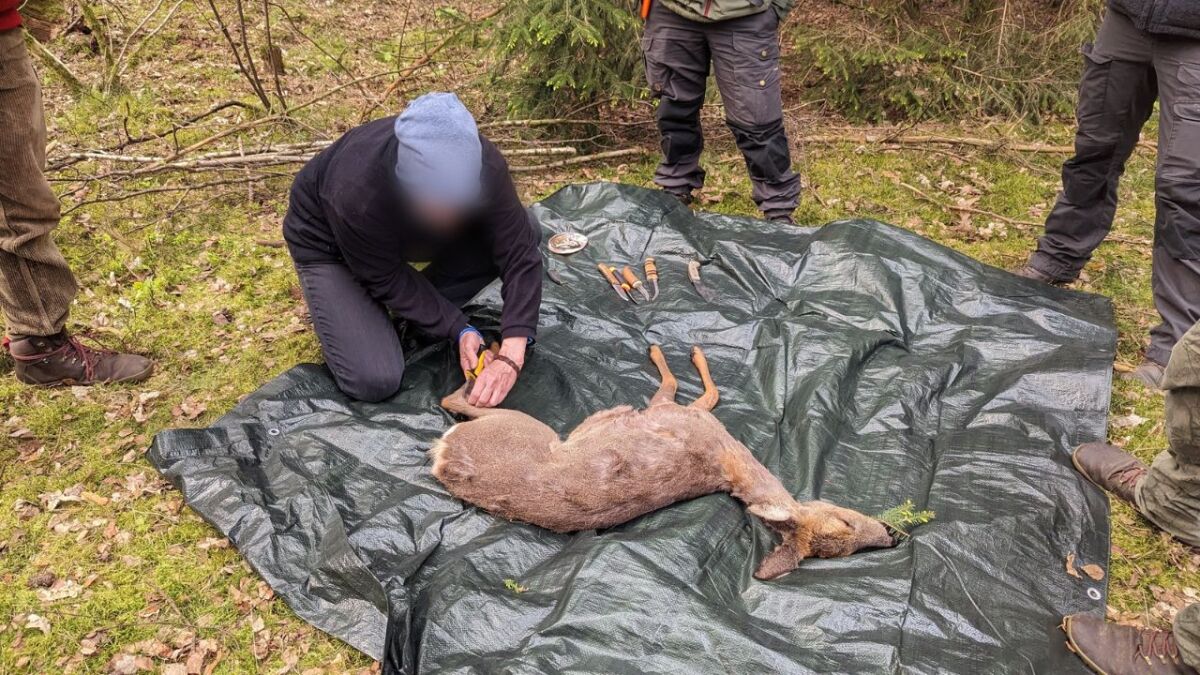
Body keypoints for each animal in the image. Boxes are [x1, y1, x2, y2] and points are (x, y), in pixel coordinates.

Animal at [436, 343, 897, 576]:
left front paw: (672, 349)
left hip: (524, 428)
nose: (892, 535)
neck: (726, 462)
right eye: (845, 522)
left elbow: (697, 391)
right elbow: (705, 391)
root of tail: (444, 459)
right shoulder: (678, 415)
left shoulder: (673, 413)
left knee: (452, 400)